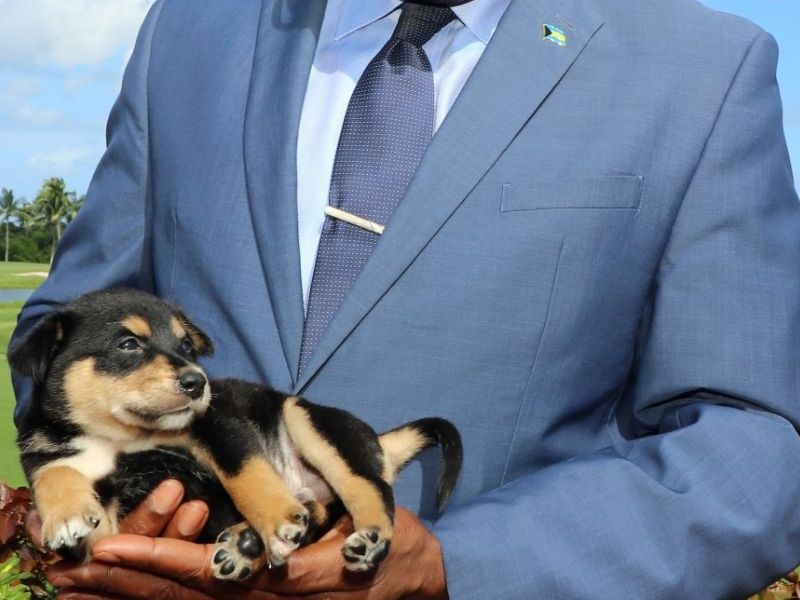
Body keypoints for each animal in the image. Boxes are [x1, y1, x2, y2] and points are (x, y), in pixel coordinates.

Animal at [9, 288, 462, 580]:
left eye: (186, 346)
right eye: (127, 344)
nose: (197, 382)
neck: (124, 437)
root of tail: (377, 442)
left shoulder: (220, 426)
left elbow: (247, 473)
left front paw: (276, 519)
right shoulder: (96, 515)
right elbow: (53, 472)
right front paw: (65, 515)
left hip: (306, 418)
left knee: (369, 488)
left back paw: (365, 540)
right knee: (323, 511)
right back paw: (244, 547)